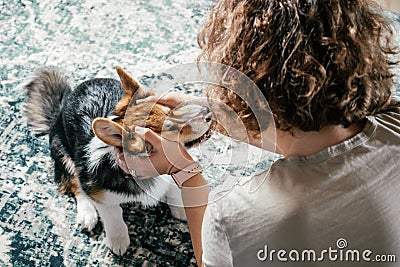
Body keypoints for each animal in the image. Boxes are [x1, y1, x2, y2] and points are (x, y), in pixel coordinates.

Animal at [24, 66, 212, 255]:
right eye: (171, 127)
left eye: (170, 109)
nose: (208, 114)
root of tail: (60, 109)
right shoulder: (99, 194)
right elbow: (113, 215)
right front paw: (118, 240)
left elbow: (172, 188)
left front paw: (180, 208)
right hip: (63, 155)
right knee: (75, 185)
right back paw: (87, 213)